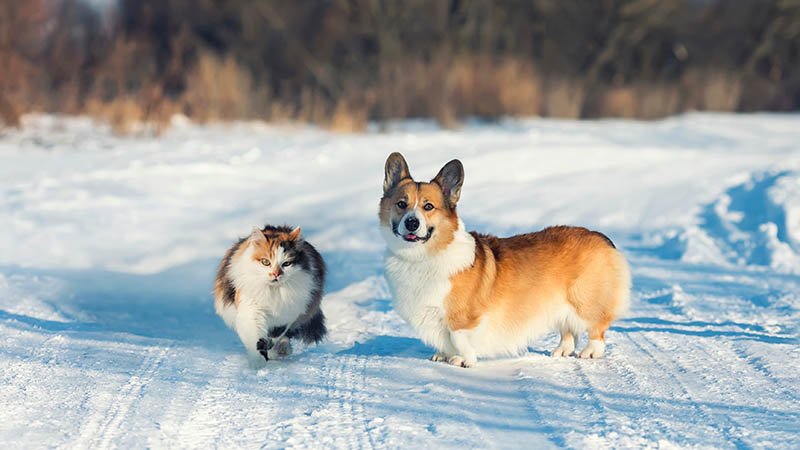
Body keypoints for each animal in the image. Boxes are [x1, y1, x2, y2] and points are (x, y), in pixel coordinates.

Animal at [212, 225, 328, 370]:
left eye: (286, 264)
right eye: (265, 262)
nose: (275, 274)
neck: (274, 292)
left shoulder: (288, 313)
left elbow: (276, 335)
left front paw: (272, 350)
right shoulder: (251, 310)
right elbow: (256, 338)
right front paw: (257, 363)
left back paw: (282, 349)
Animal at [378, 153, 628, 368]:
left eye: (428, 206)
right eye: (401, 204)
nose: (412, 223)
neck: (423, 255)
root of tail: (600, 237)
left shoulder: (462, 319)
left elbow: (459, 339)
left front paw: (463, 360)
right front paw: (443, 355)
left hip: (584, 301)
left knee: (597, 327)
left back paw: (591, 352)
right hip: (561, 305)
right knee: (568, 330)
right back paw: (562, 351)